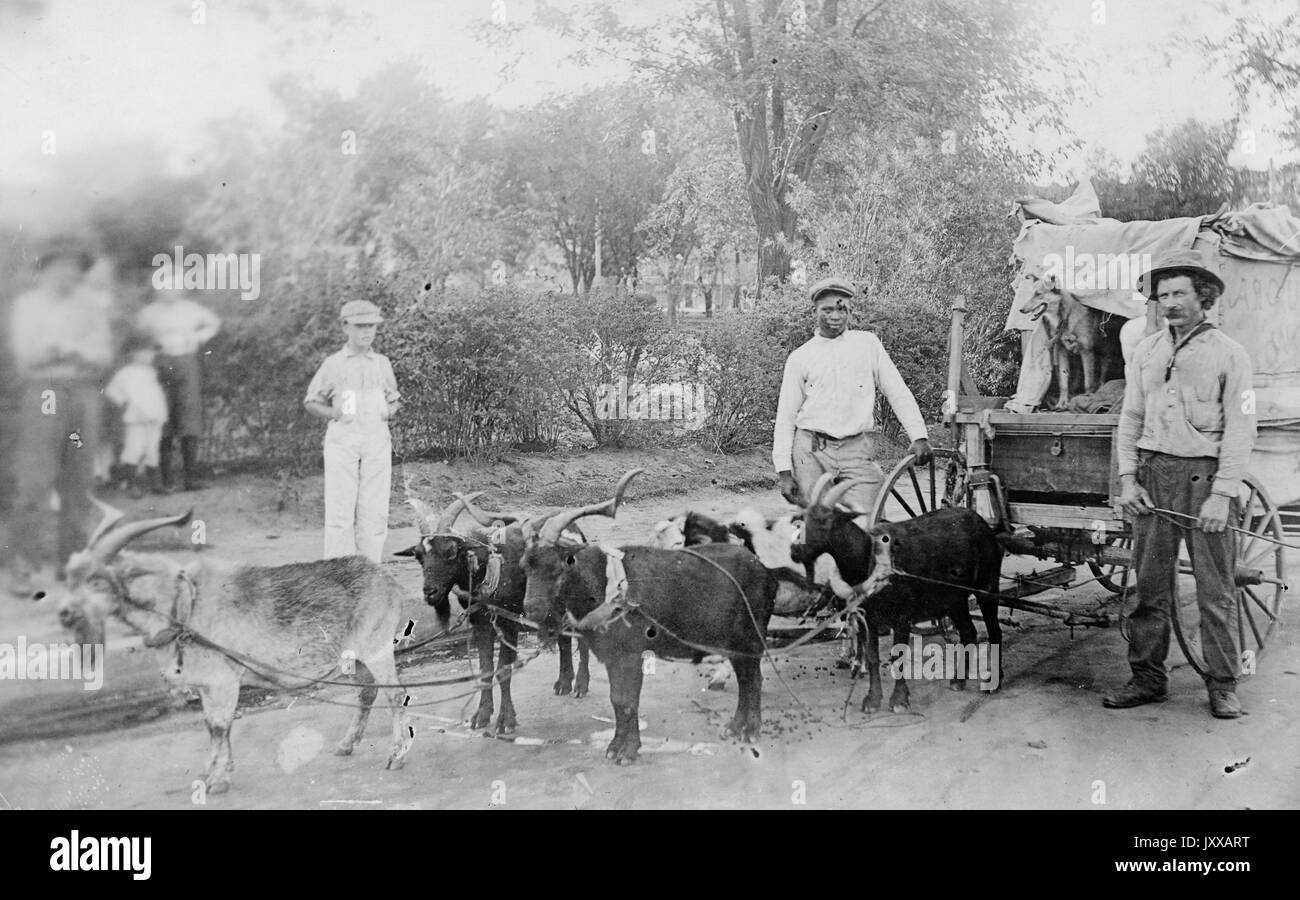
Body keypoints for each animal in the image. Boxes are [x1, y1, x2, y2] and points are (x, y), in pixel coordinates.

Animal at [57, 502, 405, 790]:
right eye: (70, 579)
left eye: (96, 580)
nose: (64, 613)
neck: (184, 606)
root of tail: (387, 579)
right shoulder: (207, 685)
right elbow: (213, 726)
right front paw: (213, 772)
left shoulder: (222, 681)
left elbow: (218, 727)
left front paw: (215, 780)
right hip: (354, 659)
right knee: (367, 693)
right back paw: (346, 744)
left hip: (376, 648)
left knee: (396, 695)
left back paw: (396, 757)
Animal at [522, 473, 774, 764]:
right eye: (526, 565)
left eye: (558, 565)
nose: (531, 608)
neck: (607, 587)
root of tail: (761, 566)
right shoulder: (612, 656)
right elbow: (617, 700)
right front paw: (617, 745)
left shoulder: (630, 654)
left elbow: (627, 699)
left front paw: (627, 750)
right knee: (745, 679)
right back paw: (735, 727)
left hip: (751, 638)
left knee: (753, 680)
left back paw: (750, 732)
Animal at [790, 473, 1003, 712]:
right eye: (802, 518)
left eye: (825, 521)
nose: (795, 550)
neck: (871, 560)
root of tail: (985, 526)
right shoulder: (869, 618)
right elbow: (872, 657)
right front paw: (872, 699)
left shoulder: (902, 616)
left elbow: (898, 656)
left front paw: (899, 700)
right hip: (954, 599)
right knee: (969, 632)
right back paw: (958, 680)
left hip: (987, 586)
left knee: (995, 631)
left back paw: (993, 682)